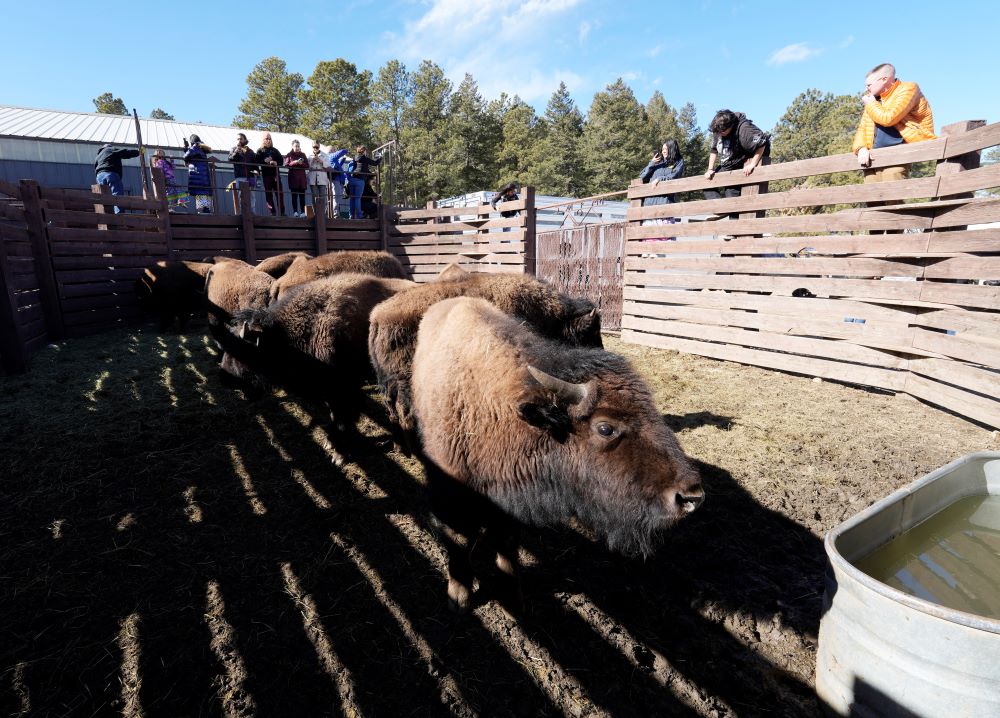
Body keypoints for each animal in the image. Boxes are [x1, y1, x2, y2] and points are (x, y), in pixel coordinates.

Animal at [368, 274, 600, 456]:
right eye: (589, 333)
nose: (599, 350)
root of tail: (378, 317)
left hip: (387, 382)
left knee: (391, 409)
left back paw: (401, 449)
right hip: (405, 382)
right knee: (404, 412)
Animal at [408, 298, 704, 612]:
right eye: (605, 428)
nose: (690, 497)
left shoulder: (511, 503)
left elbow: (506, 546)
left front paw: (513, 597)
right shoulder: (451, 497)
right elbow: (460, 541)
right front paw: (459, 598)